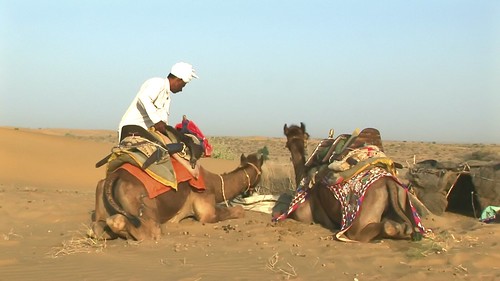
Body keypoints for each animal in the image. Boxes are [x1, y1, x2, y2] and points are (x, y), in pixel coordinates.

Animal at [89, 151, 264, 241]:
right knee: (146, 230)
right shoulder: (205, 207)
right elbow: (238, 210)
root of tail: (115, 176)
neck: (214, 183)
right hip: (140, 202)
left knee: (96, 227)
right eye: (261, 172)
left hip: (101, 197)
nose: (256, 189)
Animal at [278, 123, 426, 242]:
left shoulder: (304, 214)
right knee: (405, 226)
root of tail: (389, 183)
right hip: (402, 198)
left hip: (362, 216)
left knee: (368, 230)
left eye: (287, 143)